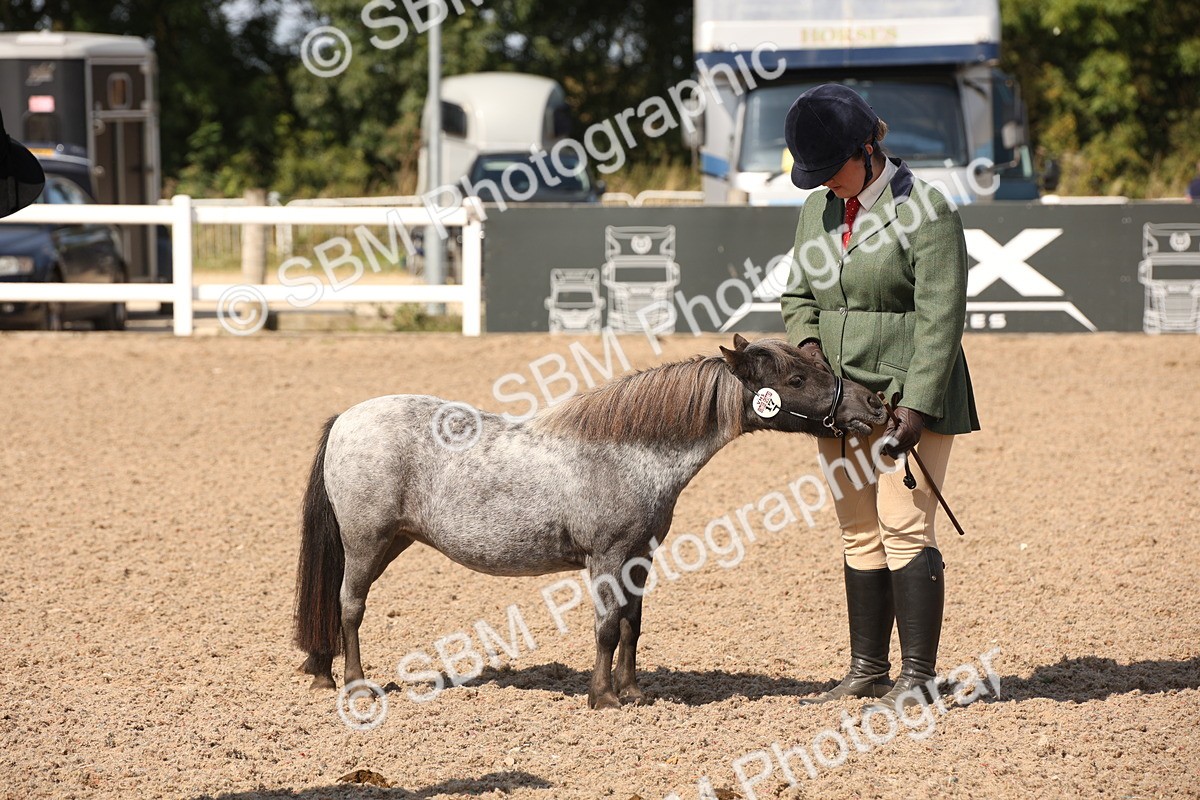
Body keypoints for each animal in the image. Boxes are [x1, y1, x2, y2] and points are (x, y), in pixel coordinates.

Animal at [293, 334, 888, 709]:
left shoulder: (639, 559)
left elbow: (631, 625)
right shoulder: (605, 558)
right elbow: (604, 626)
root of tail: (346, 419)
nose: (875, 404)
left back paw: (323, 673)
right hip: (366, 543)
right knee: (350, 606)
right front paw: (602, 697)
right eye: (797, 377)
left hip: (390, 542)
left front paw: (632, 691)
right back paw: (355, 684)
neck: (630, 451)